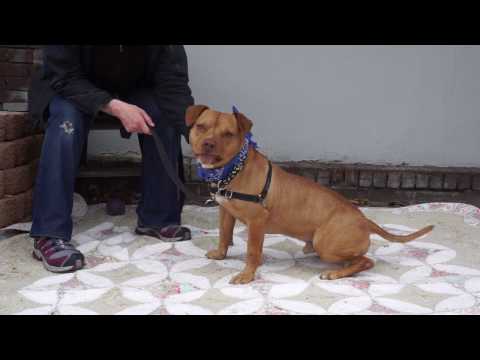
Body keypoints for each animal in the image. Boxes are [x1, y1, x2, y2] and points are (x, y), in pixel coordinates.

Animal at [186, 105, 434, 286]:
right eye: (201, 126)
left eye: (228, 134)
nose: (208, 144)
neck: (232, 170)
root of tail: (365, 220)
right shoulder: (225, 211)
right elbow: (224, 235)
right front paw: (221, 254)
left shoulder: (257, 222)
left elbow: (252, 252)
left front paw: (247, 275)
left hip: (325, 243)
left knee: (365, 261)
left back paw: (335, 273)